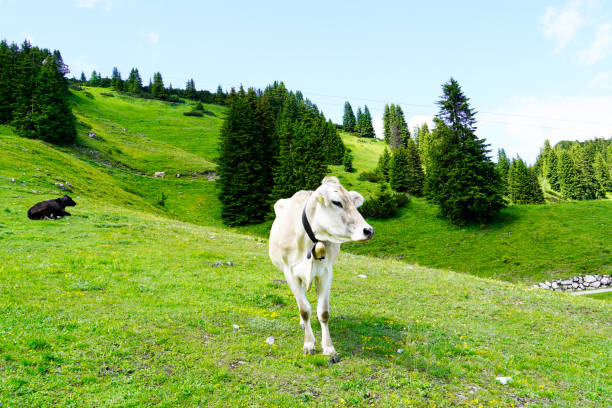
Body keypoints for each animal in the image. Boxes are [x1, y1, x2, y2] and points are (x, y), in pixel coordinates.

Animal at [268, 177, 372, 358]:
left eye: (353, 203)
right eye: (336, 202)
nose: (368, 230)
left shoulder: (326, 272)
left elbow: (323, 312)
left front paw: (329, 347)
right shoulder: (290, 272)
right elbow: (304, 309)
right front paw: (309, 343)